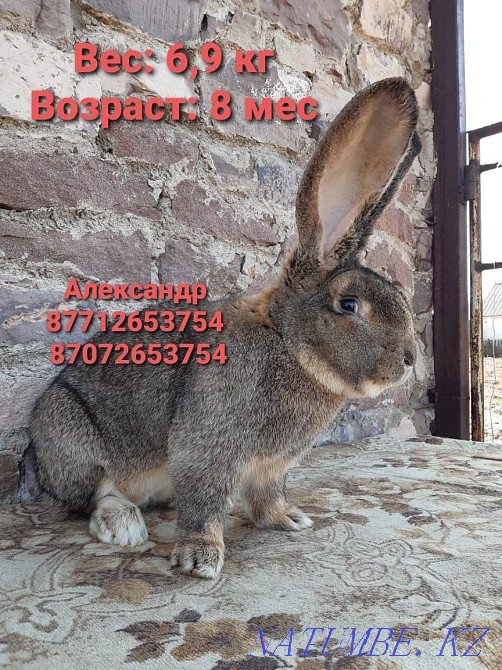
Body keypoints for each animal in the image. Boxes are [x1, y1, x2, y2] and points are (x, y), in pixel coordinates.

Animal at [30, 77, 420, 579]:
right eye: (349, 304)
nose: (409, 359)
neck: (285, 342)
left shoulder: (271, 468)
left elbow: (267, 497)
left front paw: (289, 520)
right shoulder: (209, 446)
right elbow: (203, 502)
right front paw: (200, 559)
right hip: (72, 439)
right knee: (91, 497)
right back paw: (123, 525)